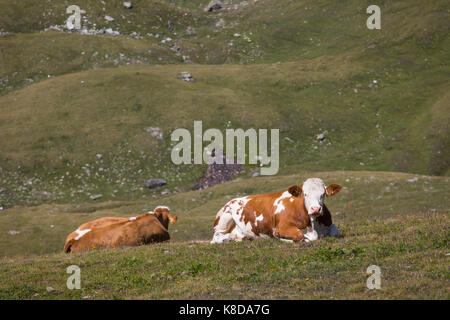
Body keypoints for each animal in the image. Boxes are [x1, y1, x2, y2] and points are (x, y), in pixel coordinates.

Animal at [211, 179, 342, 244]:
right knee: (216, 238)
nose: (316, 209)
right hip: (225, 217)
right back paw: (230, 238)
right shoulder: (281, 227)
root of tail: (232, 200)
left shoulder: (329, 224)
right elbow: (299, 236)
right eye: (305, 194)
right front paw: (281, 239)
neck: (313, 226)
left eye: (323, 194)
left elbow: (336, 232)